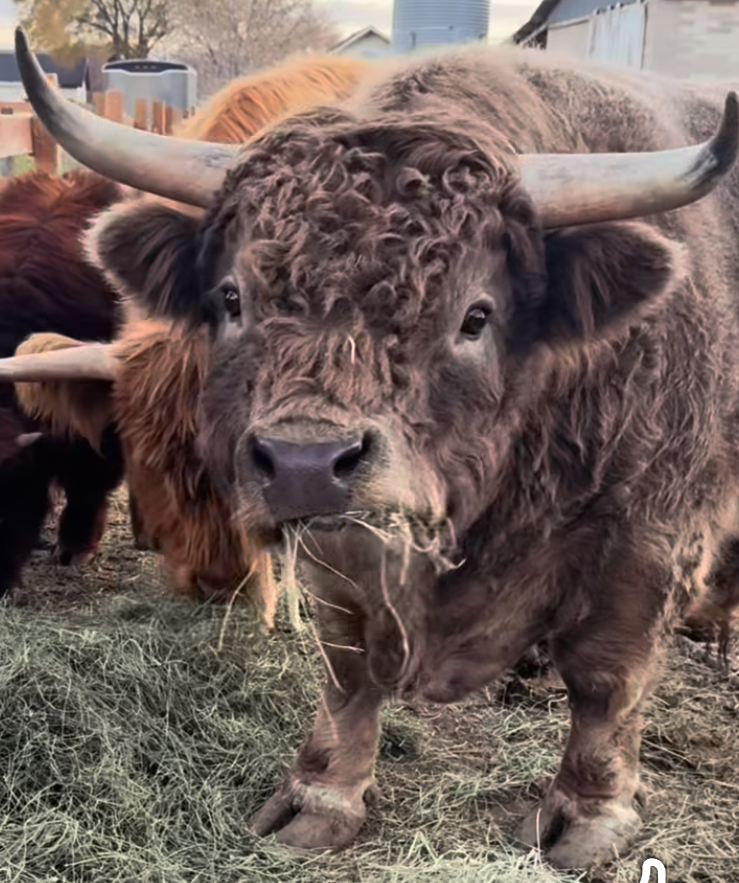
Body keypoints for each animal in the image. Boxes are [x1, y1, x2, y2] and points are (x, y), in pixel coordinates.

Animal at [10, 29, 739, 869]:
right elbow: (348, 664)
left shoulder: (647, 538)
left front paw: (587, 814)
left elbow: (605, 677)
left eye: (475, 314)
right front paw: (322, 793)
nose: (303, 462)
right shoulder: (342, 545)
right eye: (231, 296)